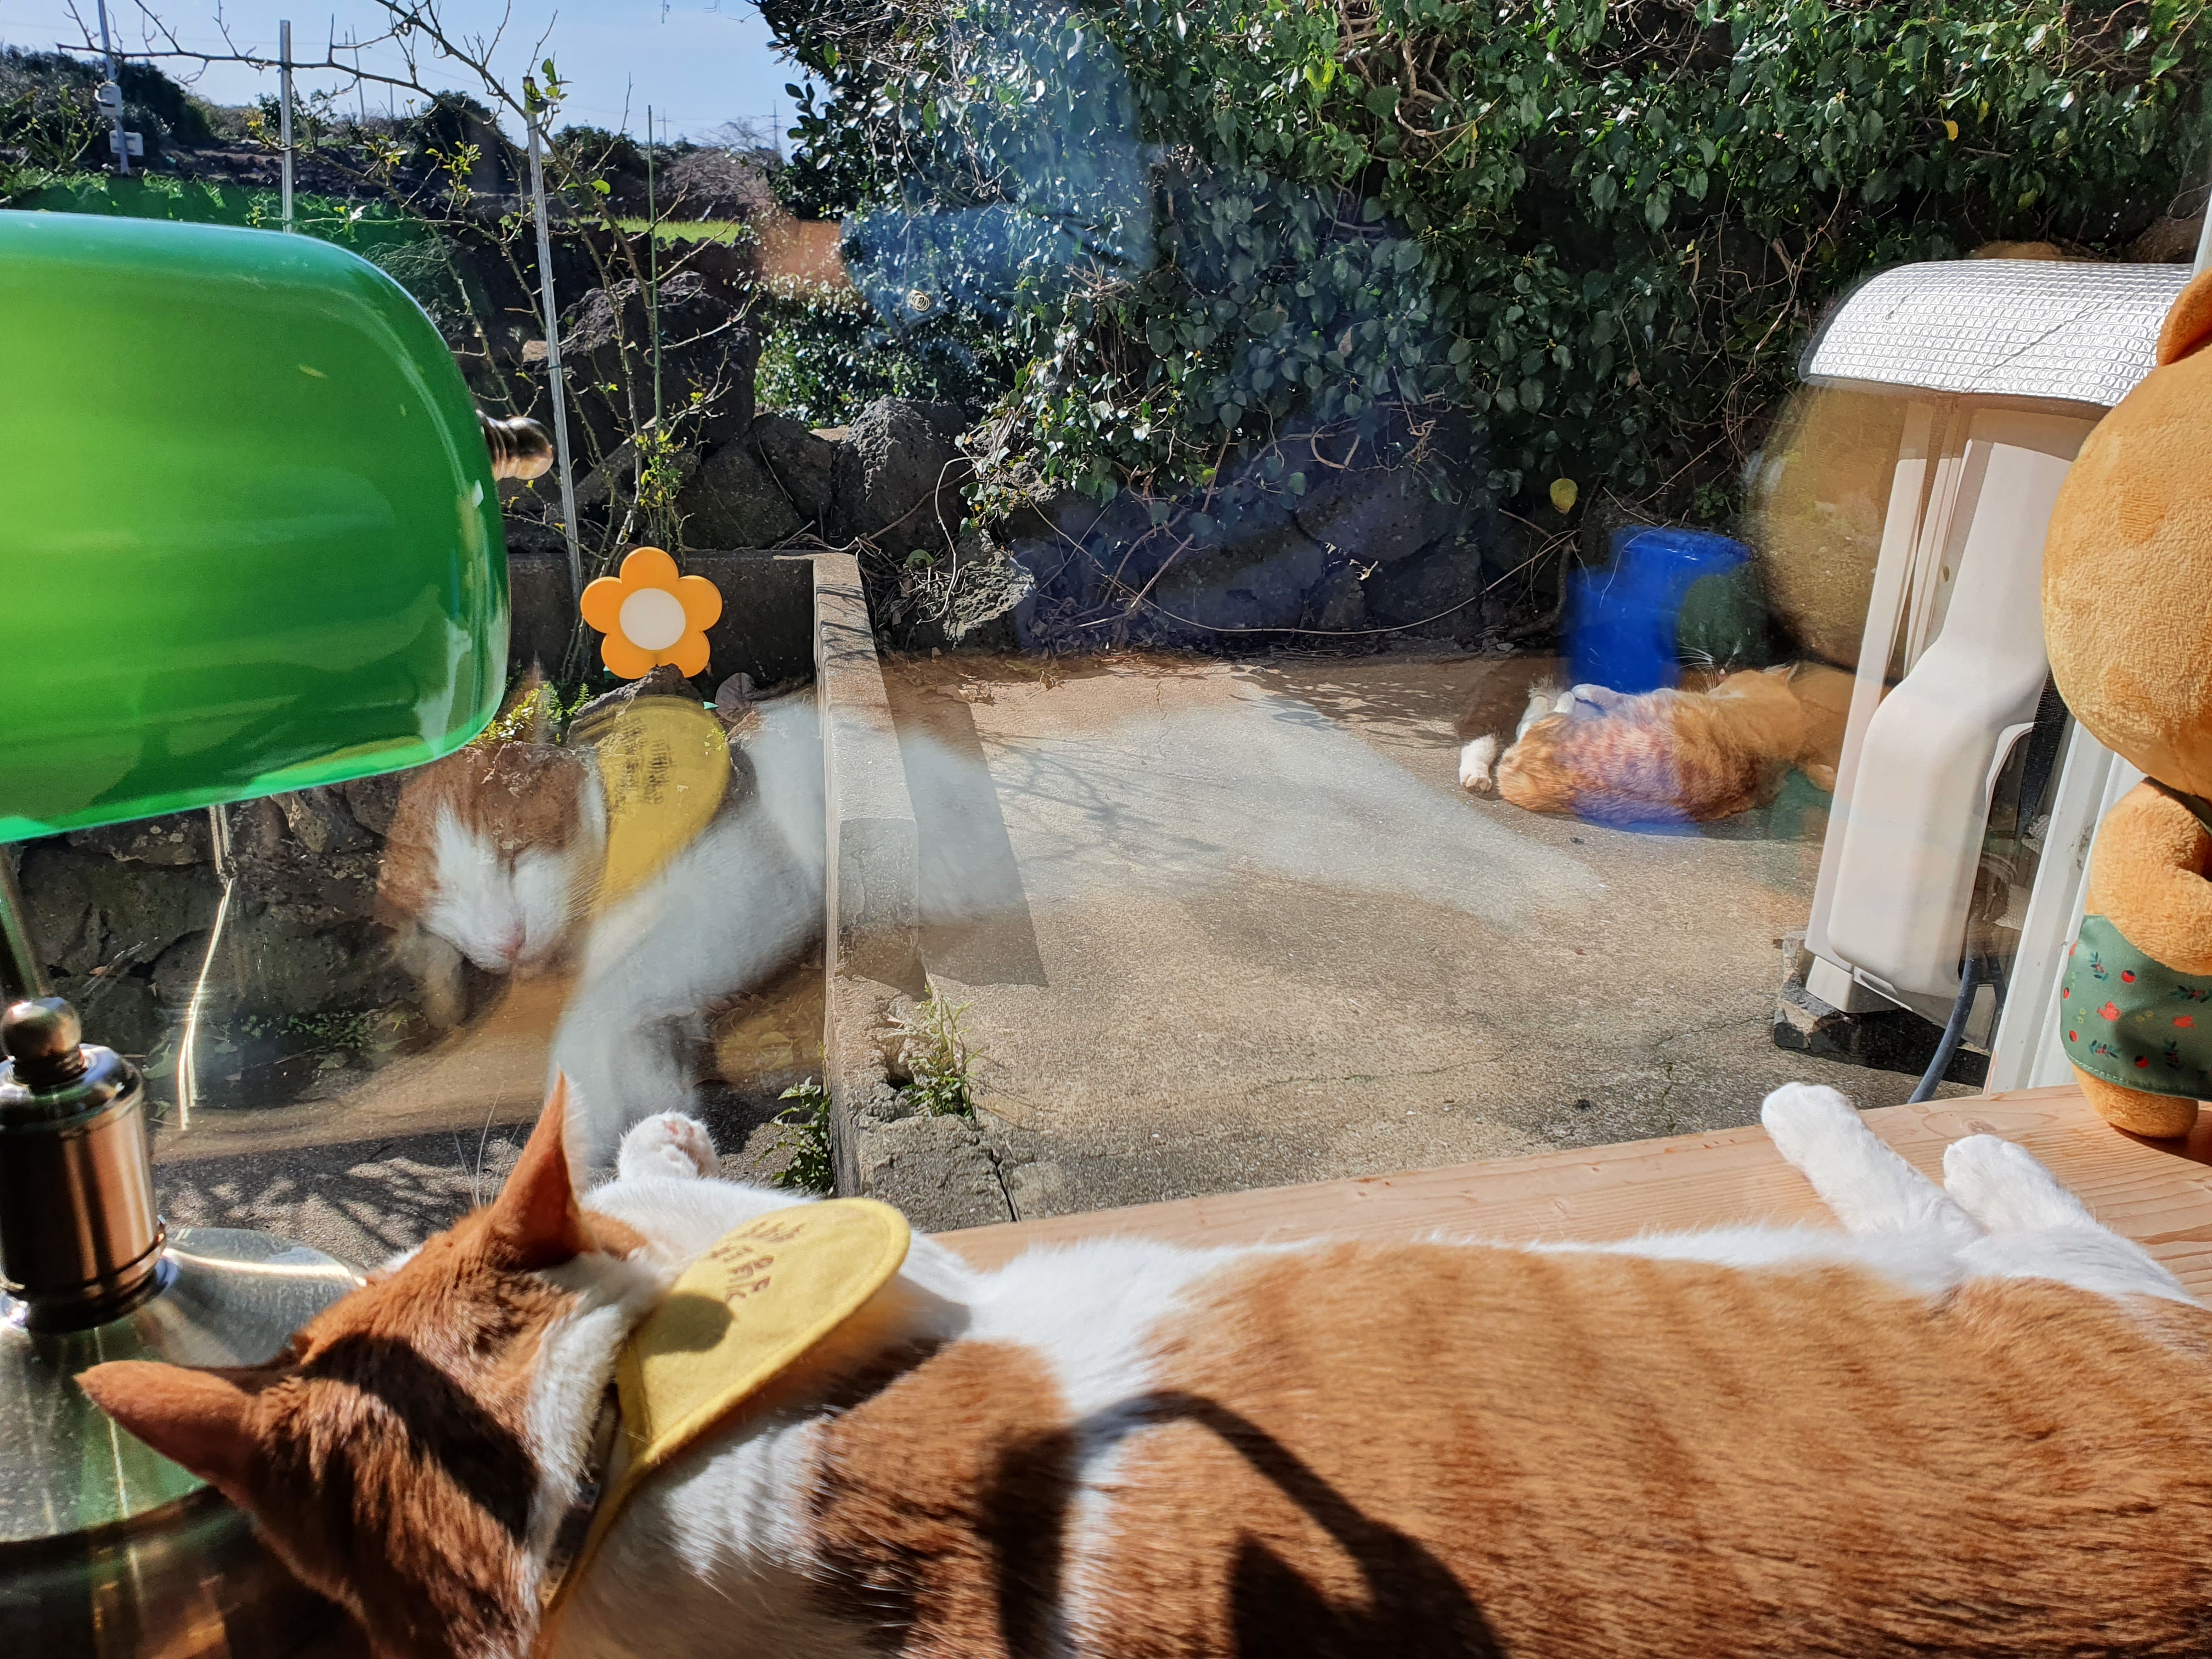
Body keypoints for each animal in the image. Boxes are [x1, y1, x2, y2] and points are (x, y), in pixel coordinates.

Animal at [78, 1077, 2212, 1659]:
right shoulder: (921, 1278)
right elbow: (664, 1185)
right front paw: (662, 1139)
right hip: (2071, 1293)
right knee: (1980, 1205)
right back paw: (1876, 1125)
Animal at [1459, 663, 1843, 824]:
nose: (1717, 681)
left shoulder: (1651, 697)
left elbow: (1612, 694)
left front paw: (1585, 689)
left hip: (1547, 725)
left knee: (1526, 724)